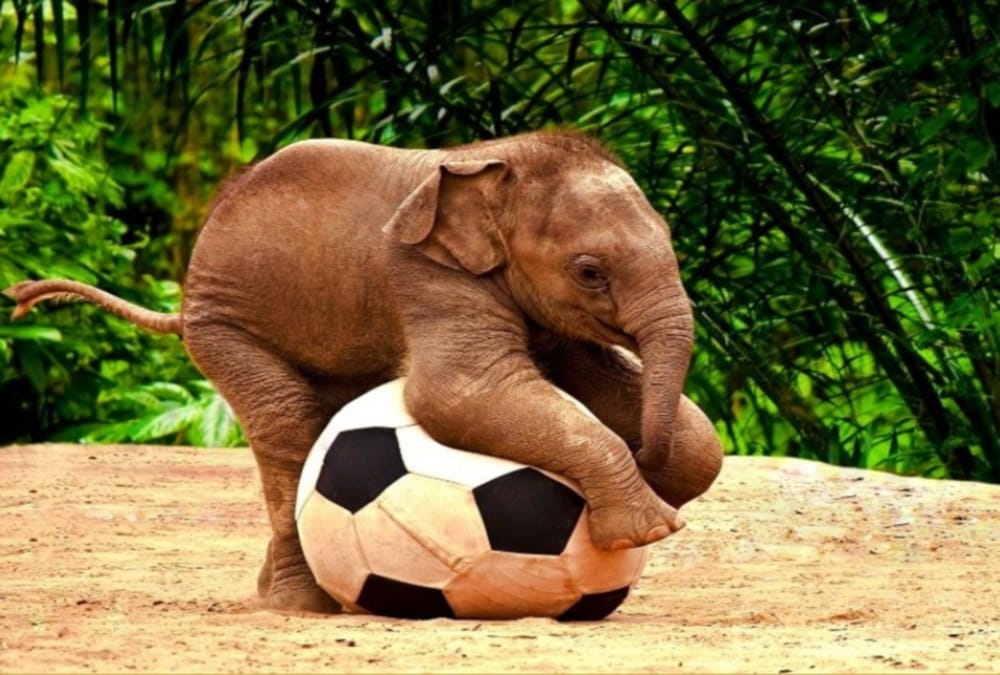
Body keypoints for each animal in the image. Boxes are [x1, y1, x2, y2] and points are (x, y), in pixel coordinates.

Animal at [6, 130, 723, 613]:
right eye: (589, 271)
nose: (644, 453)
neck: (500, 160)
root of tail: (183, 304)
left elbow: (648, 411)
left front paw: (660, 487)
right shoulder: (426, 276)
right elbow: (455, 395)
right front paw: (653, 525)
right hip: (226, 325)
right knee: (289, 424)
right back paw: (301, 605)